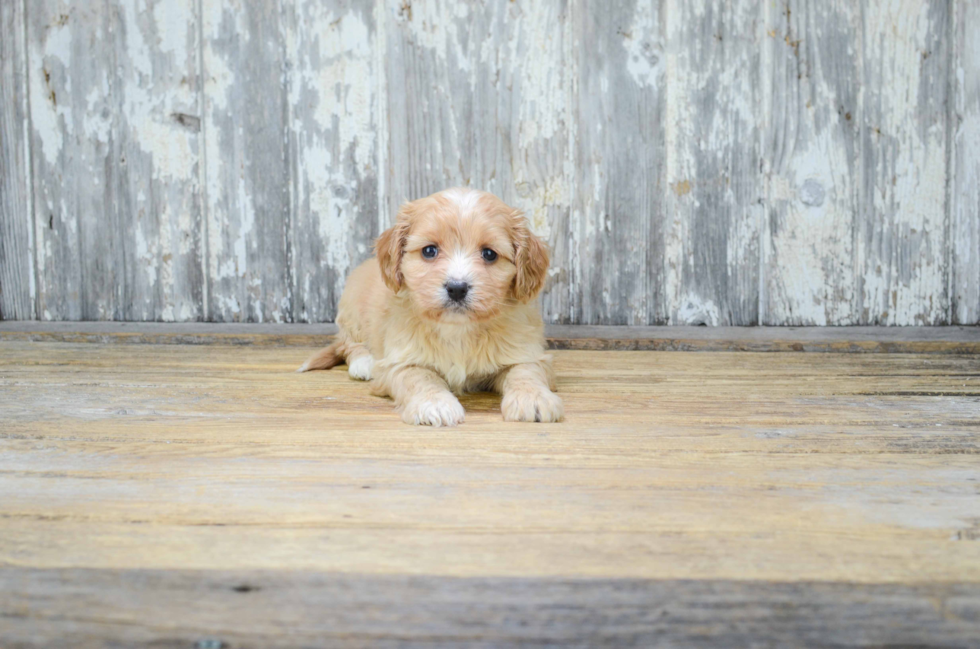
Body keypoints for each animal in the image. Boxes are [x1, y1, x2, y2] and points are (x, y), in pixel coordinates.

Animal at [294, 186, 564, 426]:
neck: (458, 330)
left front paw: (533, 398)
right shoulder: (400, 359)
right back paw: (364, 362)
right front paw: (434, 404)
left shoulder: (525, 351)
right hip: (352, 310)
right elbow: (419, 376)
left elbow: (526, 371)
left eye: (489, 254)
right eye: (430, 251)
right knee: (349, 343)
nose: (457, 288)